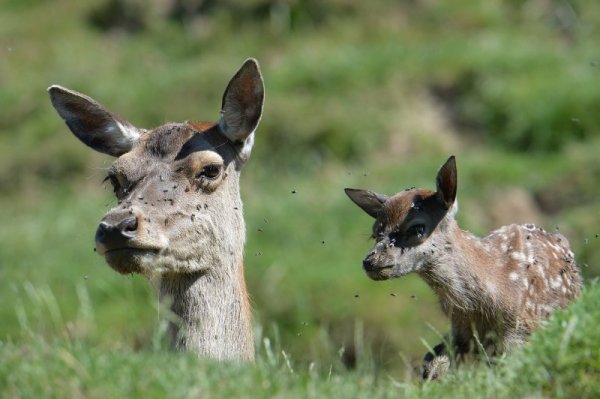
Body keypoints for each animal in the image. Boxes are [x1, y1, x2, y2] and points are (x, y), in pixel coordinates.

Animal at [346, 155, 580, 380]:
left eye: (417, 227)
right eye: (375, 232)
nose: (370, 262)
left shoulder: (520, 332)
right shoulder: (459, 331)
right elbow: (431, 366)